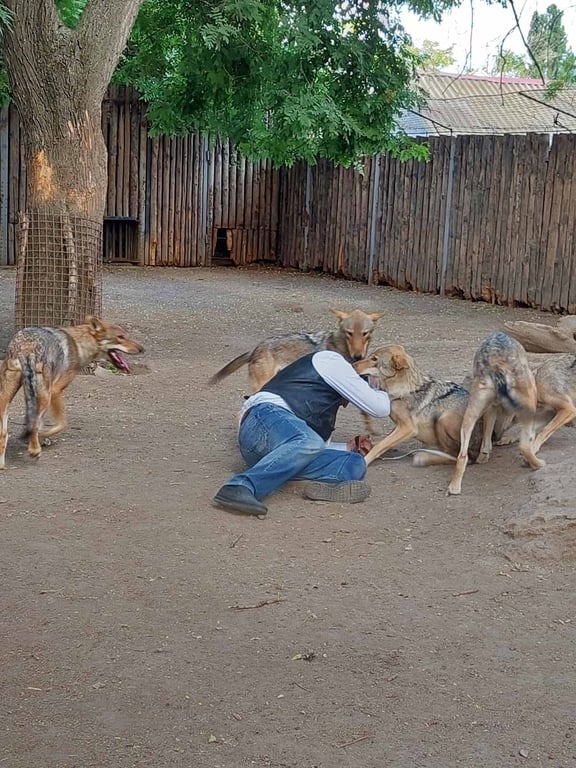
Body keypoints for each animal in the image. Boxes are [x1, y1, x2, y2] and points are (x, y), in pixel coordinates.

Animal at [213, 352, 392, 520]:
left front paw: (358, 444)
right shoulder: (336, 366)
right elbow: (376, 404)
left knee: (352, 463)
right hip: (267, 424)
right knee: (308, 443)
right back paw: (236, 495)